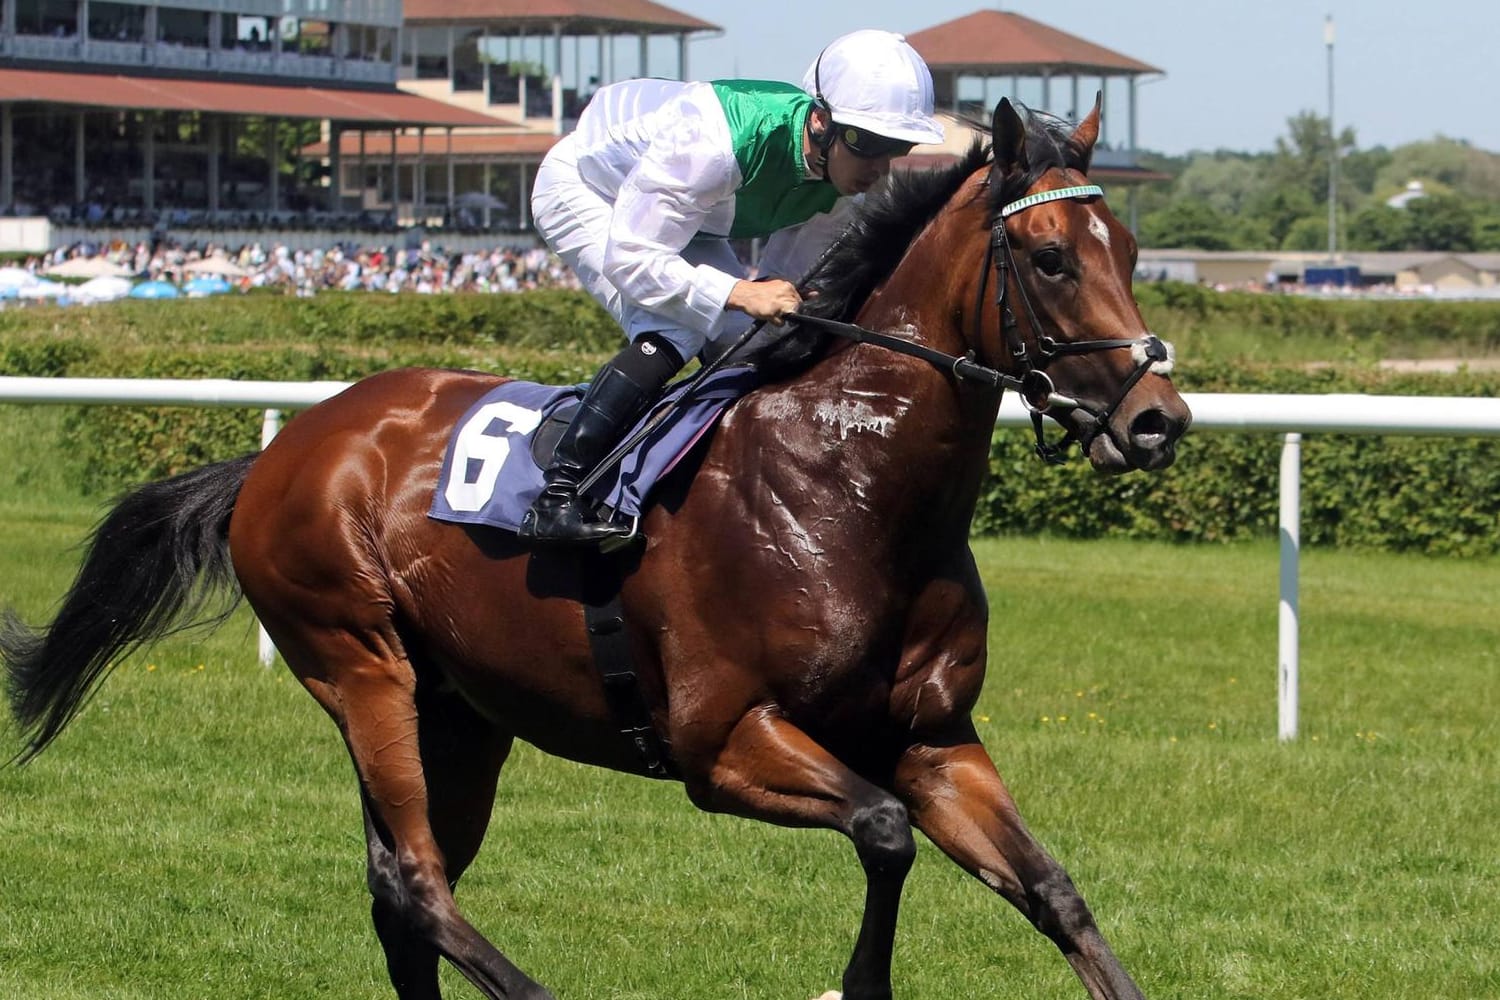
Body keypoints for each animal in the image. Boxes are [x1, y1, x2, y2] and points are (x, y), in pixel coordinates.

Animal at [5, 95, 1188, 1000]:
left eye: (1131, 253)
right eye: (1048, 258)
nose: (1157, 421)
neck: (844, 486)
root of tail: (285, 449)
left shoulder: (933, 737)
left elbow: (1052, 890)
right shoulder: (722, 741)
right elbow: (885, 831)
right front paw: (856, 983)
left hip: (459, 712)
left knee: (401, 889)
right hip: (358, 662)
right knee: (418, 881)